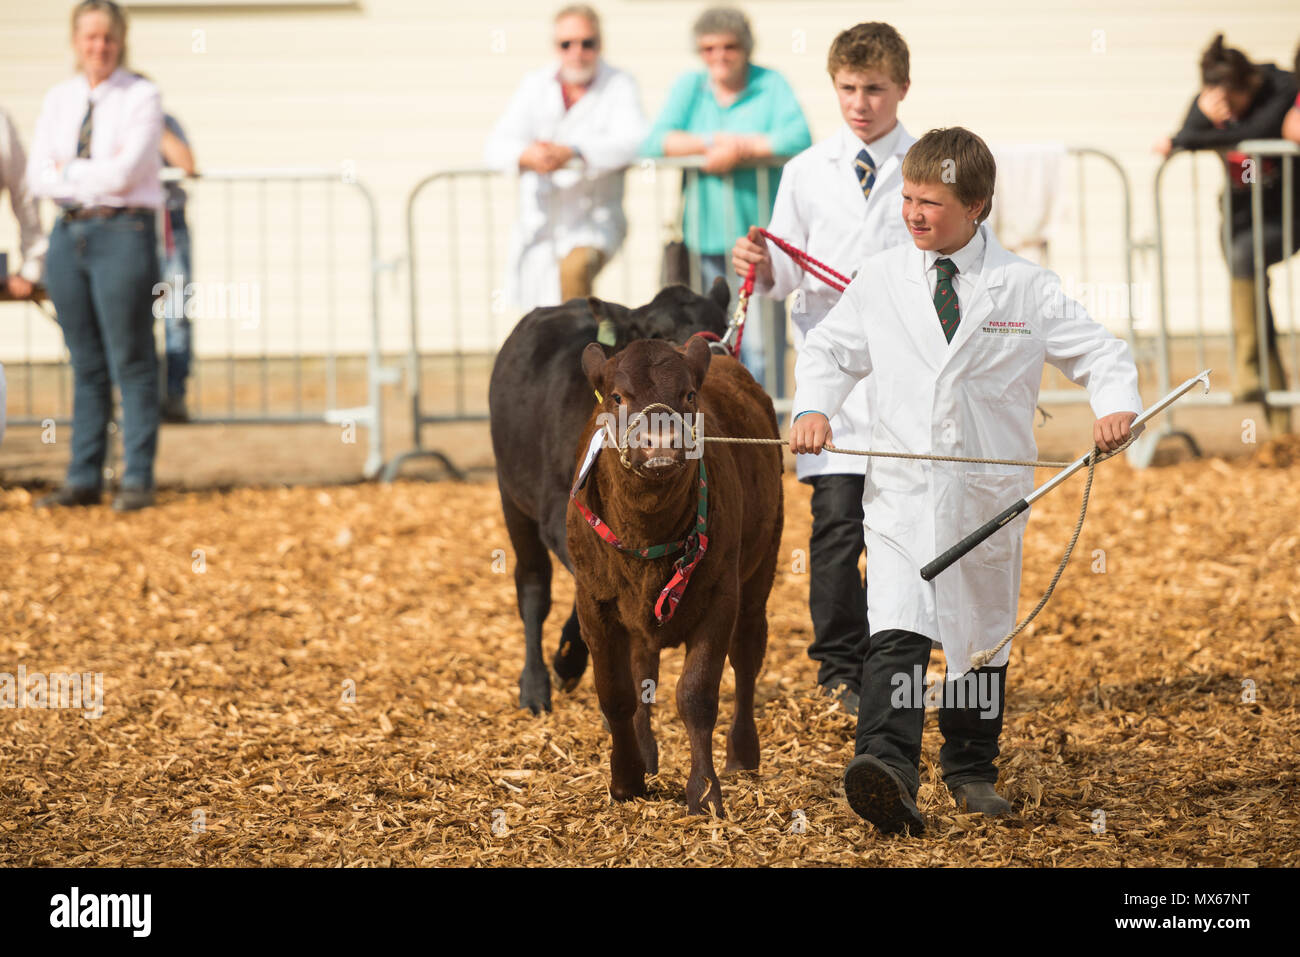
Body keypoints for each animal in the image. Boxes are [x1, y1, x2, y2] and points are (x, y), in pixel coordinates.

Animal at [488, 281, 730, 715]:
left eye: (720, 325)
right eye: (658, 333)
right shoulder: (560, 512)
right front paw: (568, 660)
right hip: (511, 495)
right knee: (533, 584)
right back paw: (534, 686)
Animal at [566, 336, 783, 816]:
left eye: (688, 395)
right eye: (617, 396)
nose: (661, 439)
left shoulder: (721, 596)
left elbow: (697, 695)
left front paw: (703, 790)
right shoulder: (593, 601)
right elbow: (617, 693)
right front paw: (625, 778)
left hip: (758, 578)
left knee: (746, 659)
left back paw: (743, 753)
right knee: (643, 669)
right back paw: (646, 753)